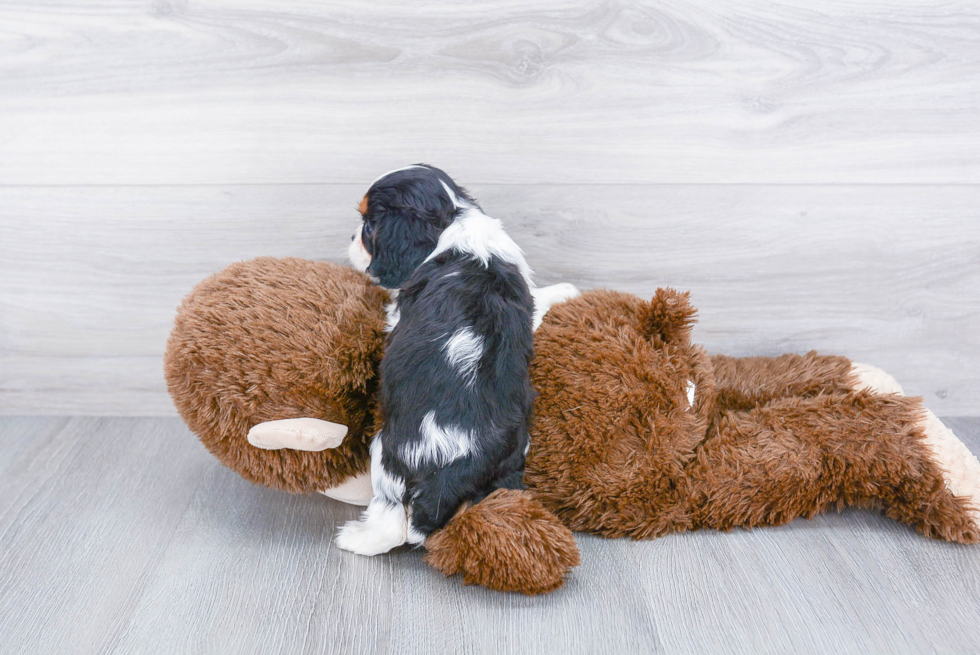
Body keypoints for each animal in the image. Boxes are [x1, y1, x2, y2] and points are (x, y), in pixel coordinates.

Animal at [340, 164, 580, 552]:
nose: (350, 237)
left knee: (391, 520)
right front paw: (563, 292)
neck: (456, 221)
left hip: (386, 452)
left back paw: (356, 537)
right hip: (511, 458)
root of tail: (457, 462)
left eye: (369, 227)